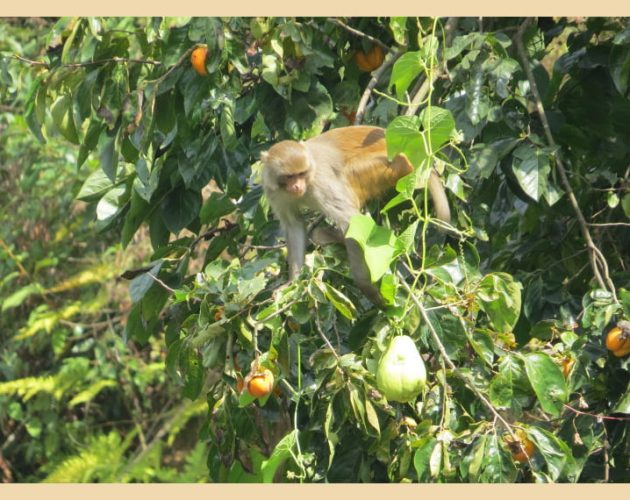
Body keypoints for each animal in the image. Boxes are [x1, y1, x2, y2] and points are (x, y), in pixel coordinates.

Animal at [262, 126, 454, 304]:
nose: (297, 186)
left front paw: (364, 284)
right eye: (290, 176)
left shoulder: (320, 184)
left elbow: (349, 219)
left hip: (387, 164)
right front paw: (292, 282)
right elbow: (293, 224)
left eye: (301, 174)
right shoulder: (274, 192)